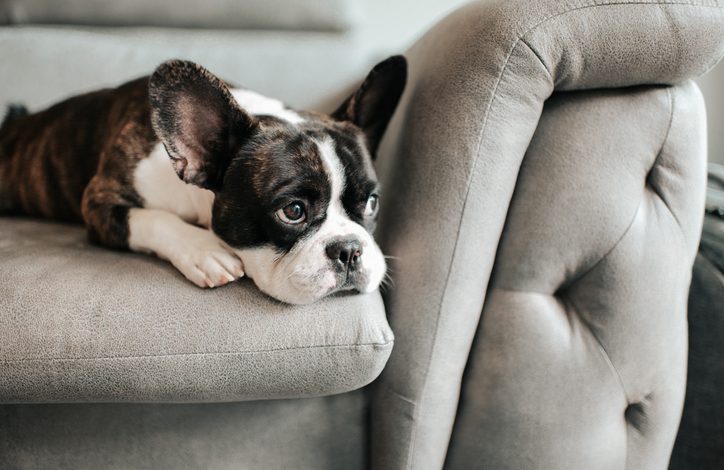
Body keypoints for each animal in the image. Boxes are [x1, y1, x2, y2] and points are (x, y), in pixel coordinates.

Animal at [0, 56, 408, 304]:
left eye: (372, 202)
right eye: (293, 211)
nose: (349, 249)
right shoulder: (100, 200)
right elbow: (153, 218)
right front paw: (204, 250)